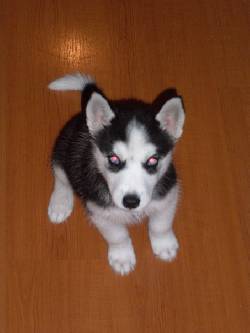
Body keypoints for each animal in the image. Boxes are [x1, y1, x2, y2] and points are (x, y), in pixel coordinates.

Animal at [47, 74, 185, 274]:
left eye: (153, 160)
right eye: (113, 158)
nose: (131, 202)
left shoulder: (168, 194)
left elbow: (161, 224)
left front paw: (164, 244)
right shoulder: (100, 212)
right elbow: (117, 236)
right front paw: (122, 257)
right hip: (64, 149)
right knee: (60, 175)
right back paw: (60, 203)